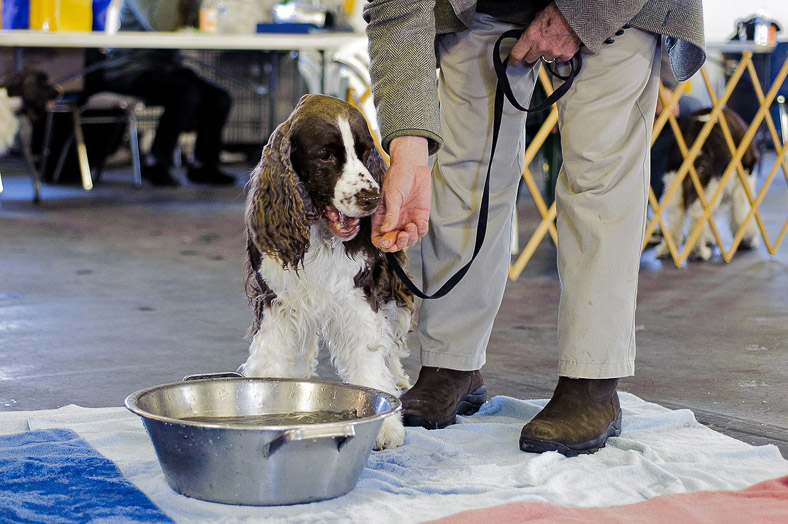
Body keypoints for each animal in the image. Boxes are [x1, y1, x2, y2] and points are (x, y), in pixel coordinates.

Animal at [239, 94, 412, 450]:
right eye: (326, 155)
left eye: (364, 152)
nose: (373, 198)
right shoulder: (277, 298)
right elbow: (272, 355)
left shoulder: (360, 295)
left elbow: (369, 357)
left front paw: (386, 426)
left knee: (393, 344)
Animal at [656, 107, 760, 260]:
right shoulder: (744, 179)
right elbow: (742, 212)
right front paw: (748, 238)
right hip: (708, 188)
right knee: (697, 219)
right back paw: (698, 251)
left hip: (675, 184)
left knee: (675, 217)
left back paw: (668, 249)